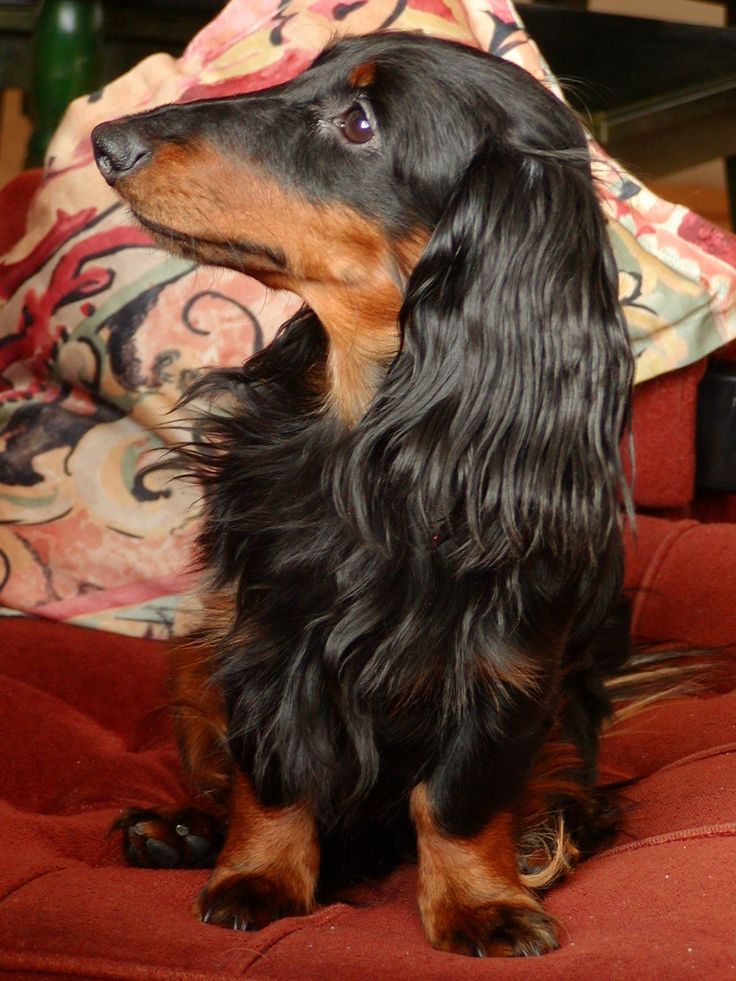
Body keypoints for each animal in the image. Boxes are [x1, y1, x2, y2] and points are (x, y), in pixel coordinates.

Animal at [90, 32, 632, 956]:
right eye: (309, 70)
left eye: (359, 123)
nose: (107, 141)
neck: (375, 434)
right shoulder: (267, 630)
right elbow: (274, 776)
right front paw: (257, 876)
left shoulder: (509, 661)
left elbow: (458, 798)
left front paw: (481, 900)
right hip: (191, 655)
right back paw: (184, 830)